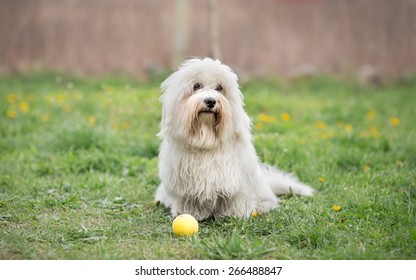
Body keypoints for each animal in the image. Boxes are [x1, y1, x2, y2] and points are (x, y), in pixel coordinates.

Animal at [155, 58, 312, 221]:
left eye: (219, 88)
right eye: (196, 86)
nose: (210, 101)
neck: (206, 140)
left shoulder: (237, 182)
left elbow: (236, 200)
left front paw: (235, 214)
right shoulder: (183, 186)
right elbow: (189, 201)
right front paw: (191, 213)